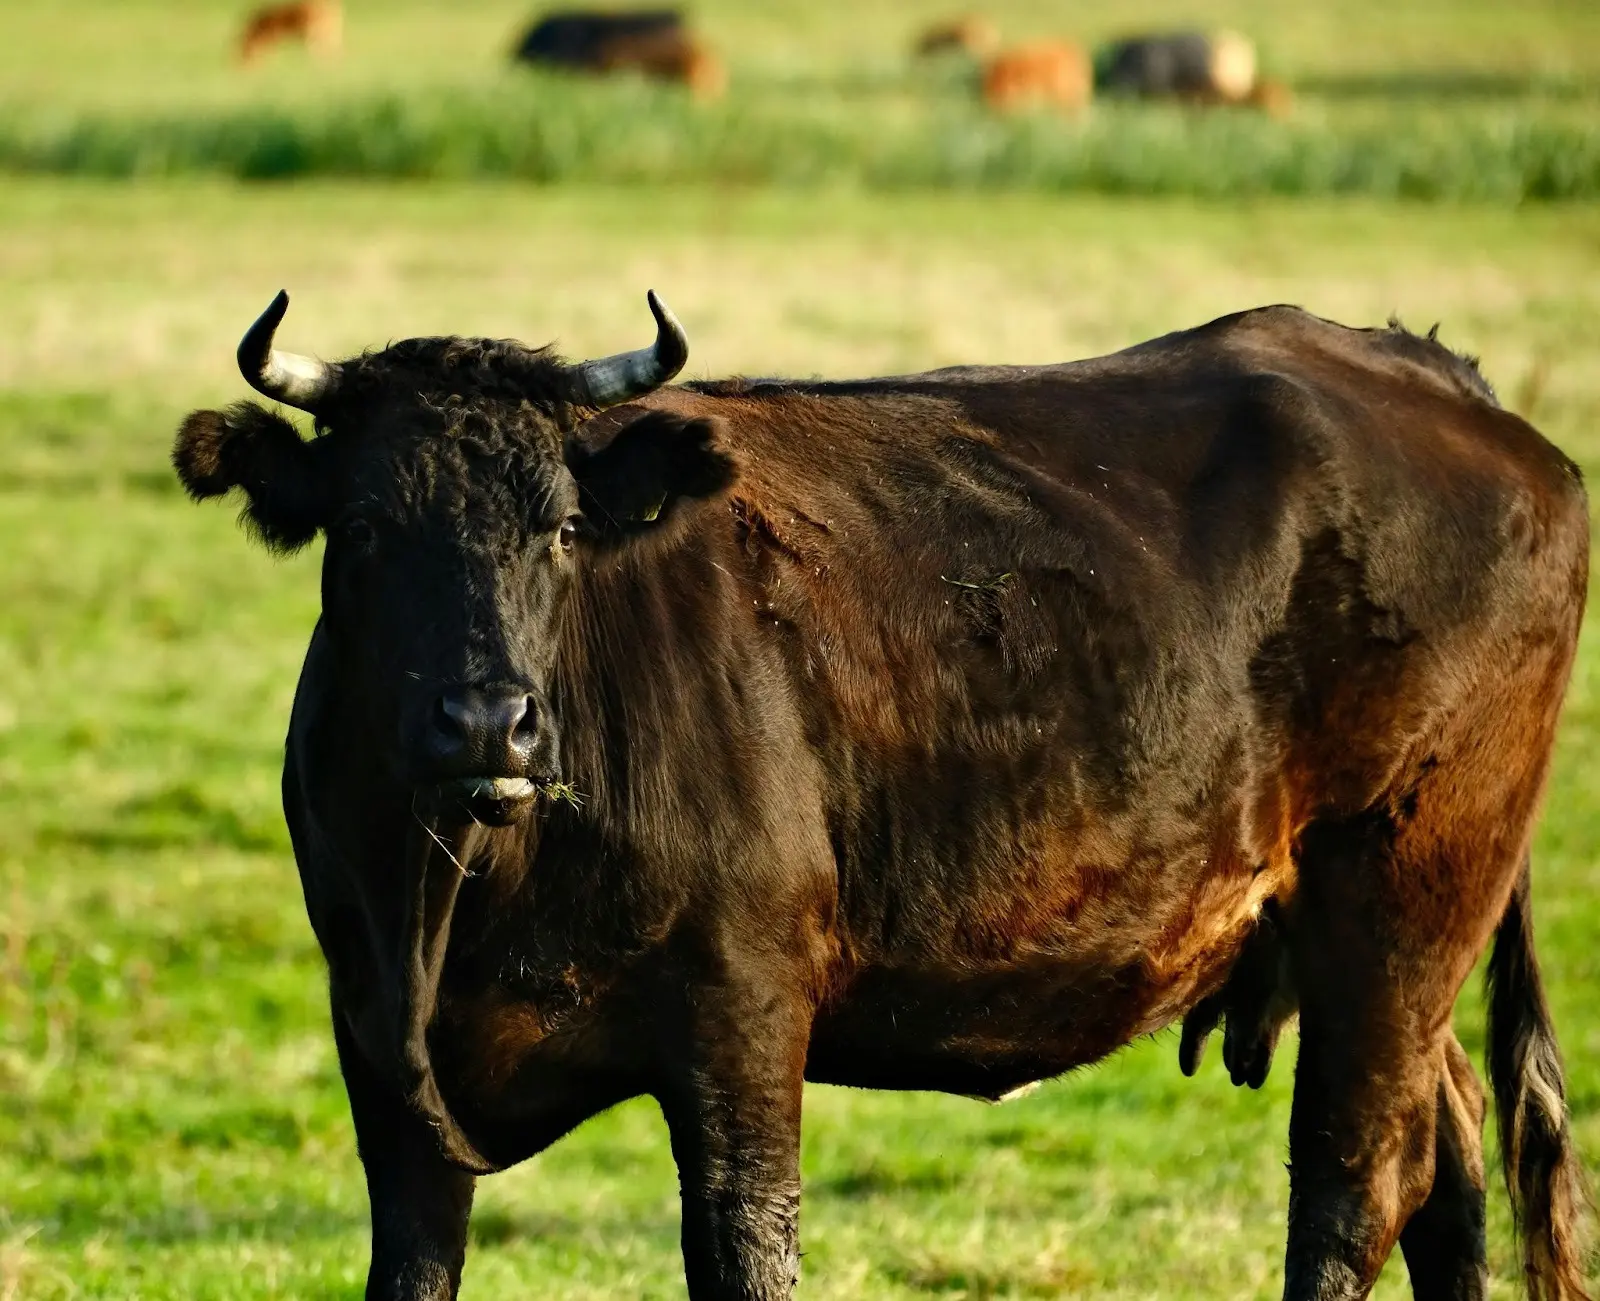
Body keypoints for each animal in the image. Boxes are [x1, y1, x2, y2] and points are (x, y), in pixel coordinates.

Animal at [171, 289, 1592, 1301]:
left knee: (1356, 1181)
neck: (462, 889)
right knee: (1448, 1152)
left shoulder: (743, 1019)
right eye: (361, 529)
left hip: (1403, 903)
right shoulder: (381, 1053)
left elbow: (745, 1254)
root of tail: (1428, 374)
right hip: (1384, 947)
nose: (487, 721)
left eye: (561, 527)